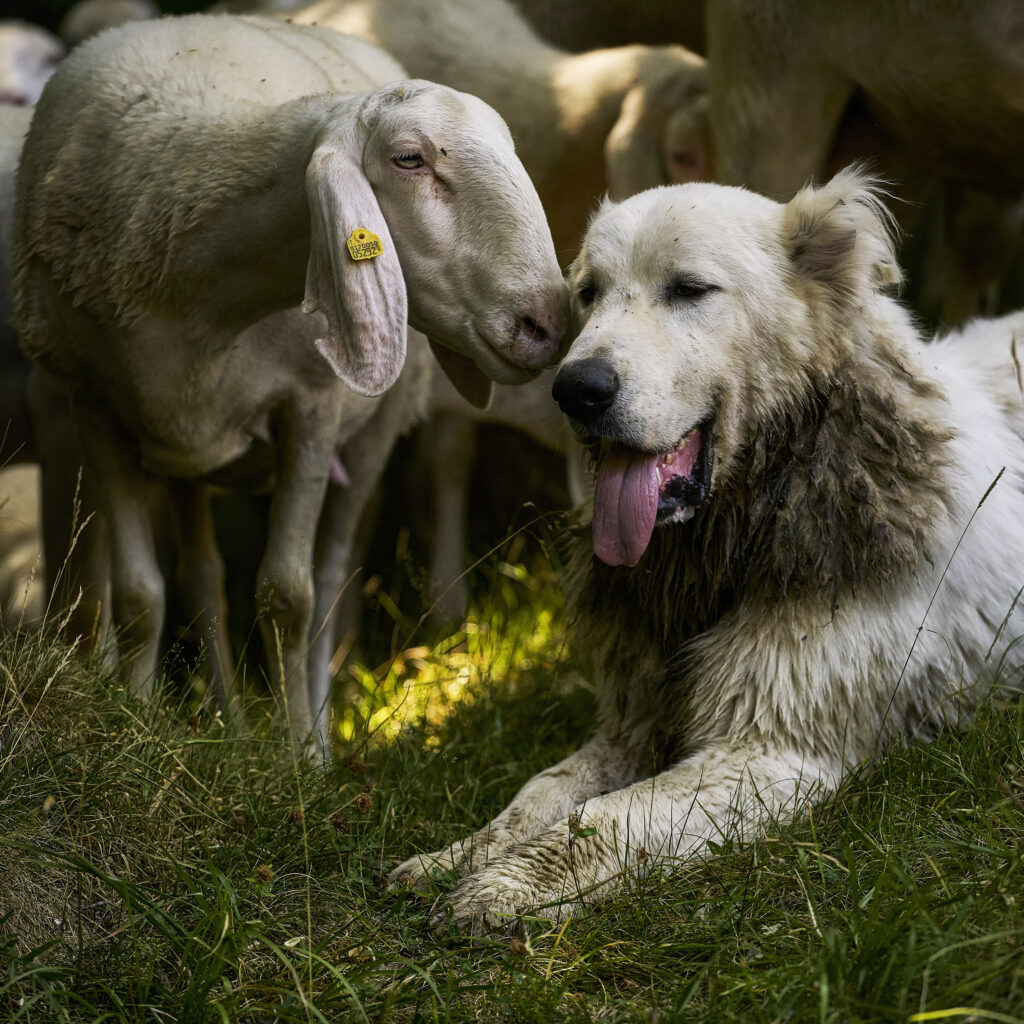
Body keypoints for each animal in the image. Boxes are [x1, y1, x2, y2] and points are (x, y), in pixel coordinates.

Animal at [389, 167, 1024, 937]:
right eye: (588, 293)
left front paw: (503, 886)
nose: (576, 390)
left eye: (689, 289)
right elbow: (539, 793)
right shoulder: (631, 723)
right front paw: (455, 856)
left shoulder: (771, 750)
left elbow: (603, 819)